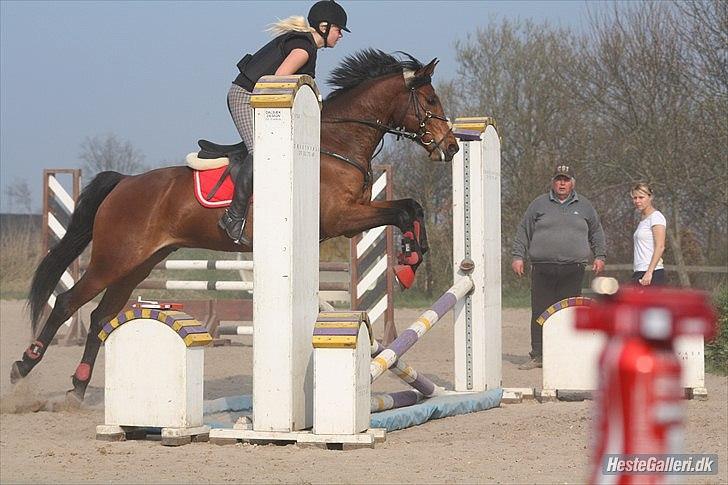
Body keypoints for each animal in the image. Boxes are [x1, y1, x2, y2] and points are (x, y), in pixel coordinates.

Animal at [9, 50, 456, 404]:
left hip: (138, 264)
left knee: (101, 317)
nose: (450, 146)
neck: (335, 144)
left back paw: (79, 387)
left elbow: (410, 207)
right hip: (114, 258)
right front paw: (408, 262)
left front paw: (411, 259)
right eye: (430, 99)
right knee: (68, 303)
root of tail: (124, 183)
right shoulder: (343, 217)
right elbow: (403, 211)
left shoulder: (355, 214)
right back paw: (24, 366)